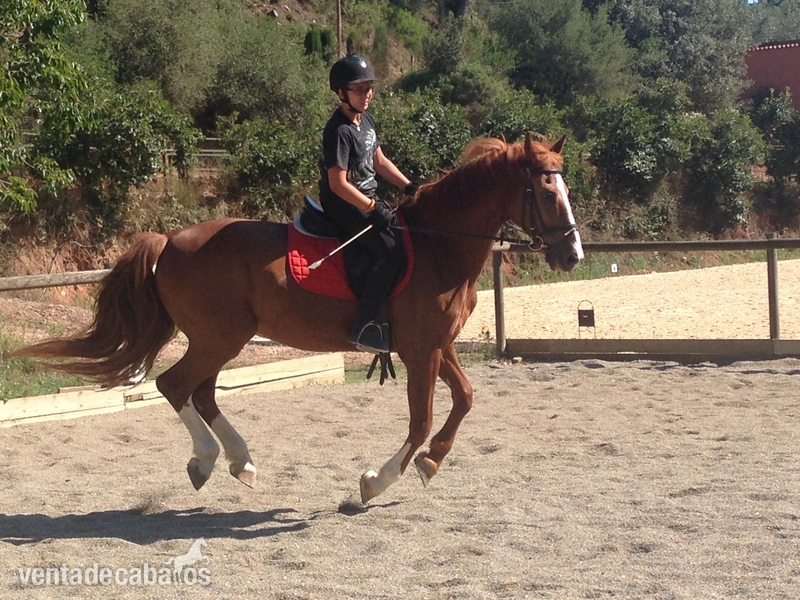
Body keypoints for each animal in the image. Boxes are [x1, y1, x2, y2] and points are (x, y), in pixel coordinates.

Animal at [13, 133, 583, 503]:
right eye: (546, 192)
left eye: (566, 190)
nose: (572, 256)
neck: (437, 243)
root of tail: (170, 240)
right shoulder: (420, 349)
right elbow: (420, 420)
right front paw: (375, 482)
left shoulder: (436, 345)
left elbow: (464, 399)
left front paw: (431, 462)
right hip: (220, 337)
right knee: (175, 385)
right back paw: (210, 459)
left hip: (219, 339)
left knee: (200, 392)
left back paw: (239, 462)